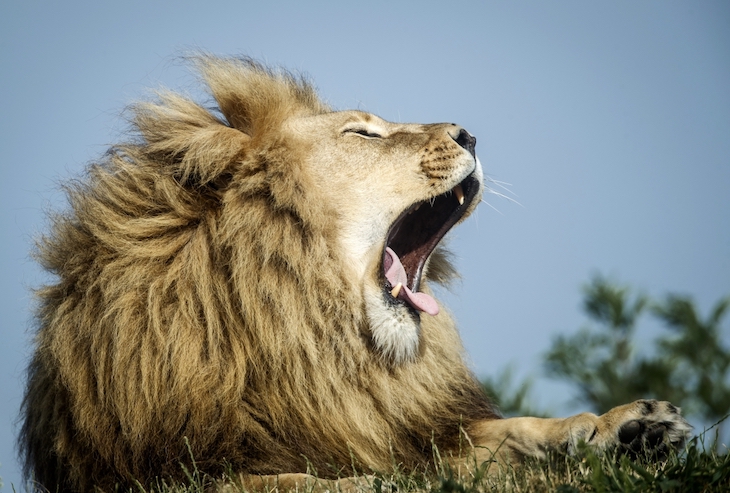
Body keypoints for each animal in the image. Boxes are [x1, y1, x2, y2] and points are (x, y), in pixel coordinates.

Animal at [19, 55, 691, 493]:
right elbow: (292, 482)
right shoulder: (155, 473)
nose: (470, 134)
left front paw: (628, 427)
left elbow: (517, 432)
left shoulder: (405, 424)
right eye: (363, 133)